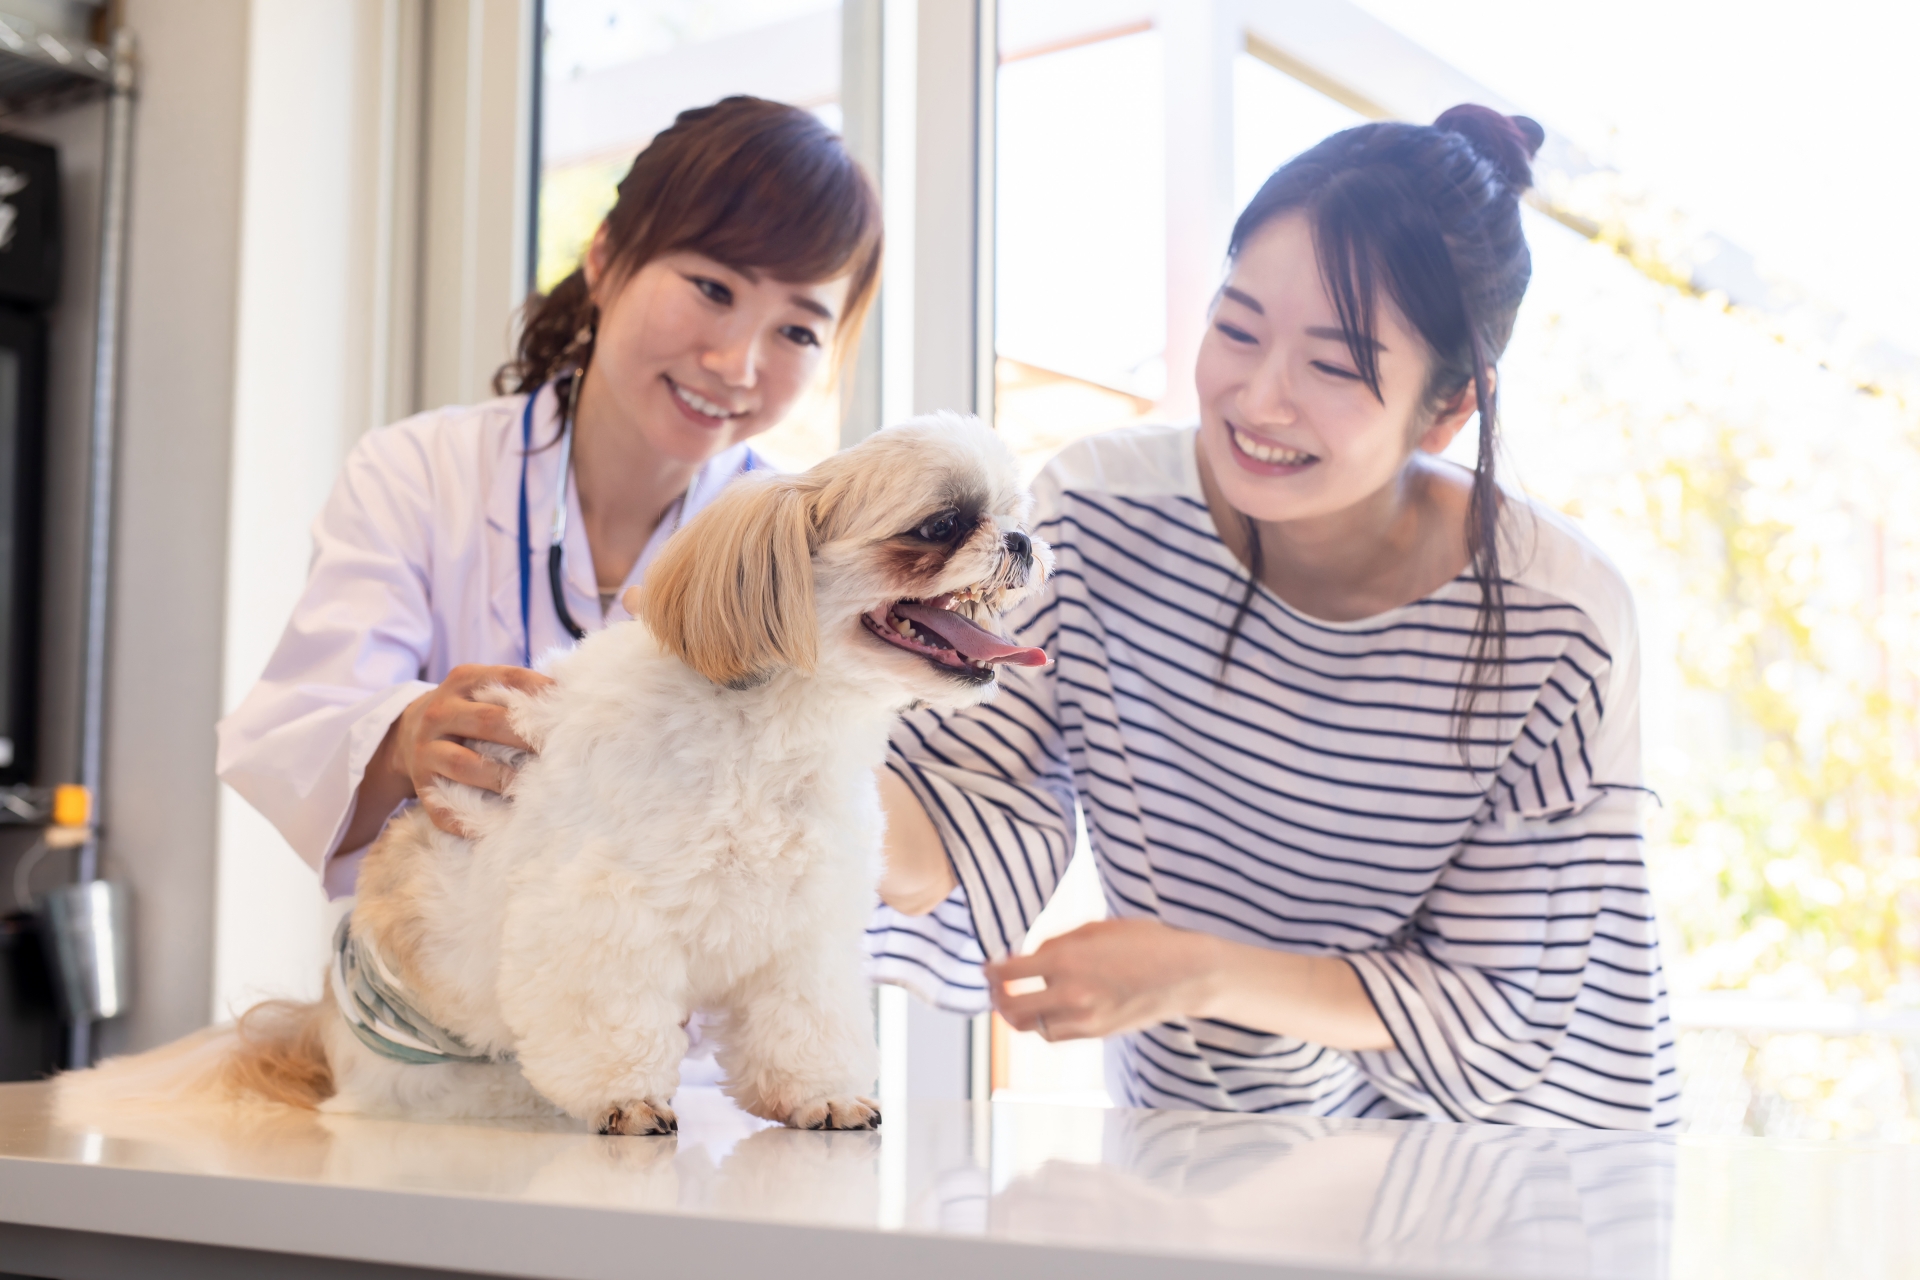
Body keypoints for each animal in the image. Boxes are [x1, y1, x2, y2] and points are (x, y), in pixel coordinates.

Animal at [60, 416, 1052, 1136]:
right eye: (940, 525)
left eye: (1013, 509)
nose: (1021, 541)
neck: (770, 726)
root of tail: (318, 1025)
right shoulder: (596, 912)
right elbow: (609, 1017)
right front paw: (628, 1101)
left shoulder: (799, 931)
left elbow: (802, 1024)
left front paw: (818, 1097)